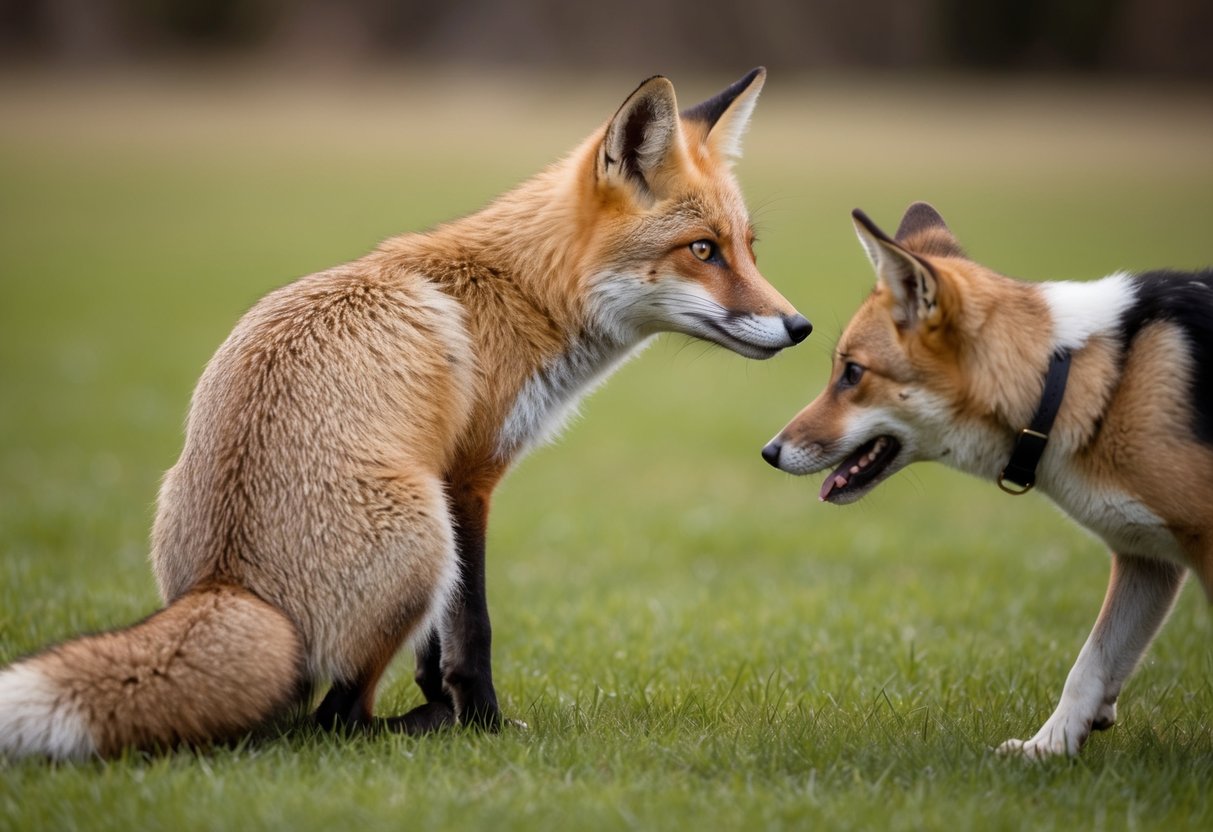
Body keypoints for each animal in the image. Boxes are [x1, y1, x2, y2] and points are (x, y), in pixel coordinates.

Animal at [0, 68, 811, 760]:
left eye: (746, 248)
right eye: (701, 250)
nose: (800, 327)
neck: (523, 294)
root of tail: (227, 584)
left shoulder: (453, 485)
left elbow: (436, 647)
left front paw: (454, 707)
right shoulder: (467, 478)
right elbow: (472, 630)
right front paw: (483, 723)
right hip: (422, 535)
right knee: (333, 721)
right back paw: (416, 727)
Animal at [762, 201, 1213, 758]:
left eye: (852, 373)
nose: (769, 452)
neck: (1070, 384)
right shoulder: (1145, 559)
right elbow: (1090, 665)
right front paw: (1049, 750)